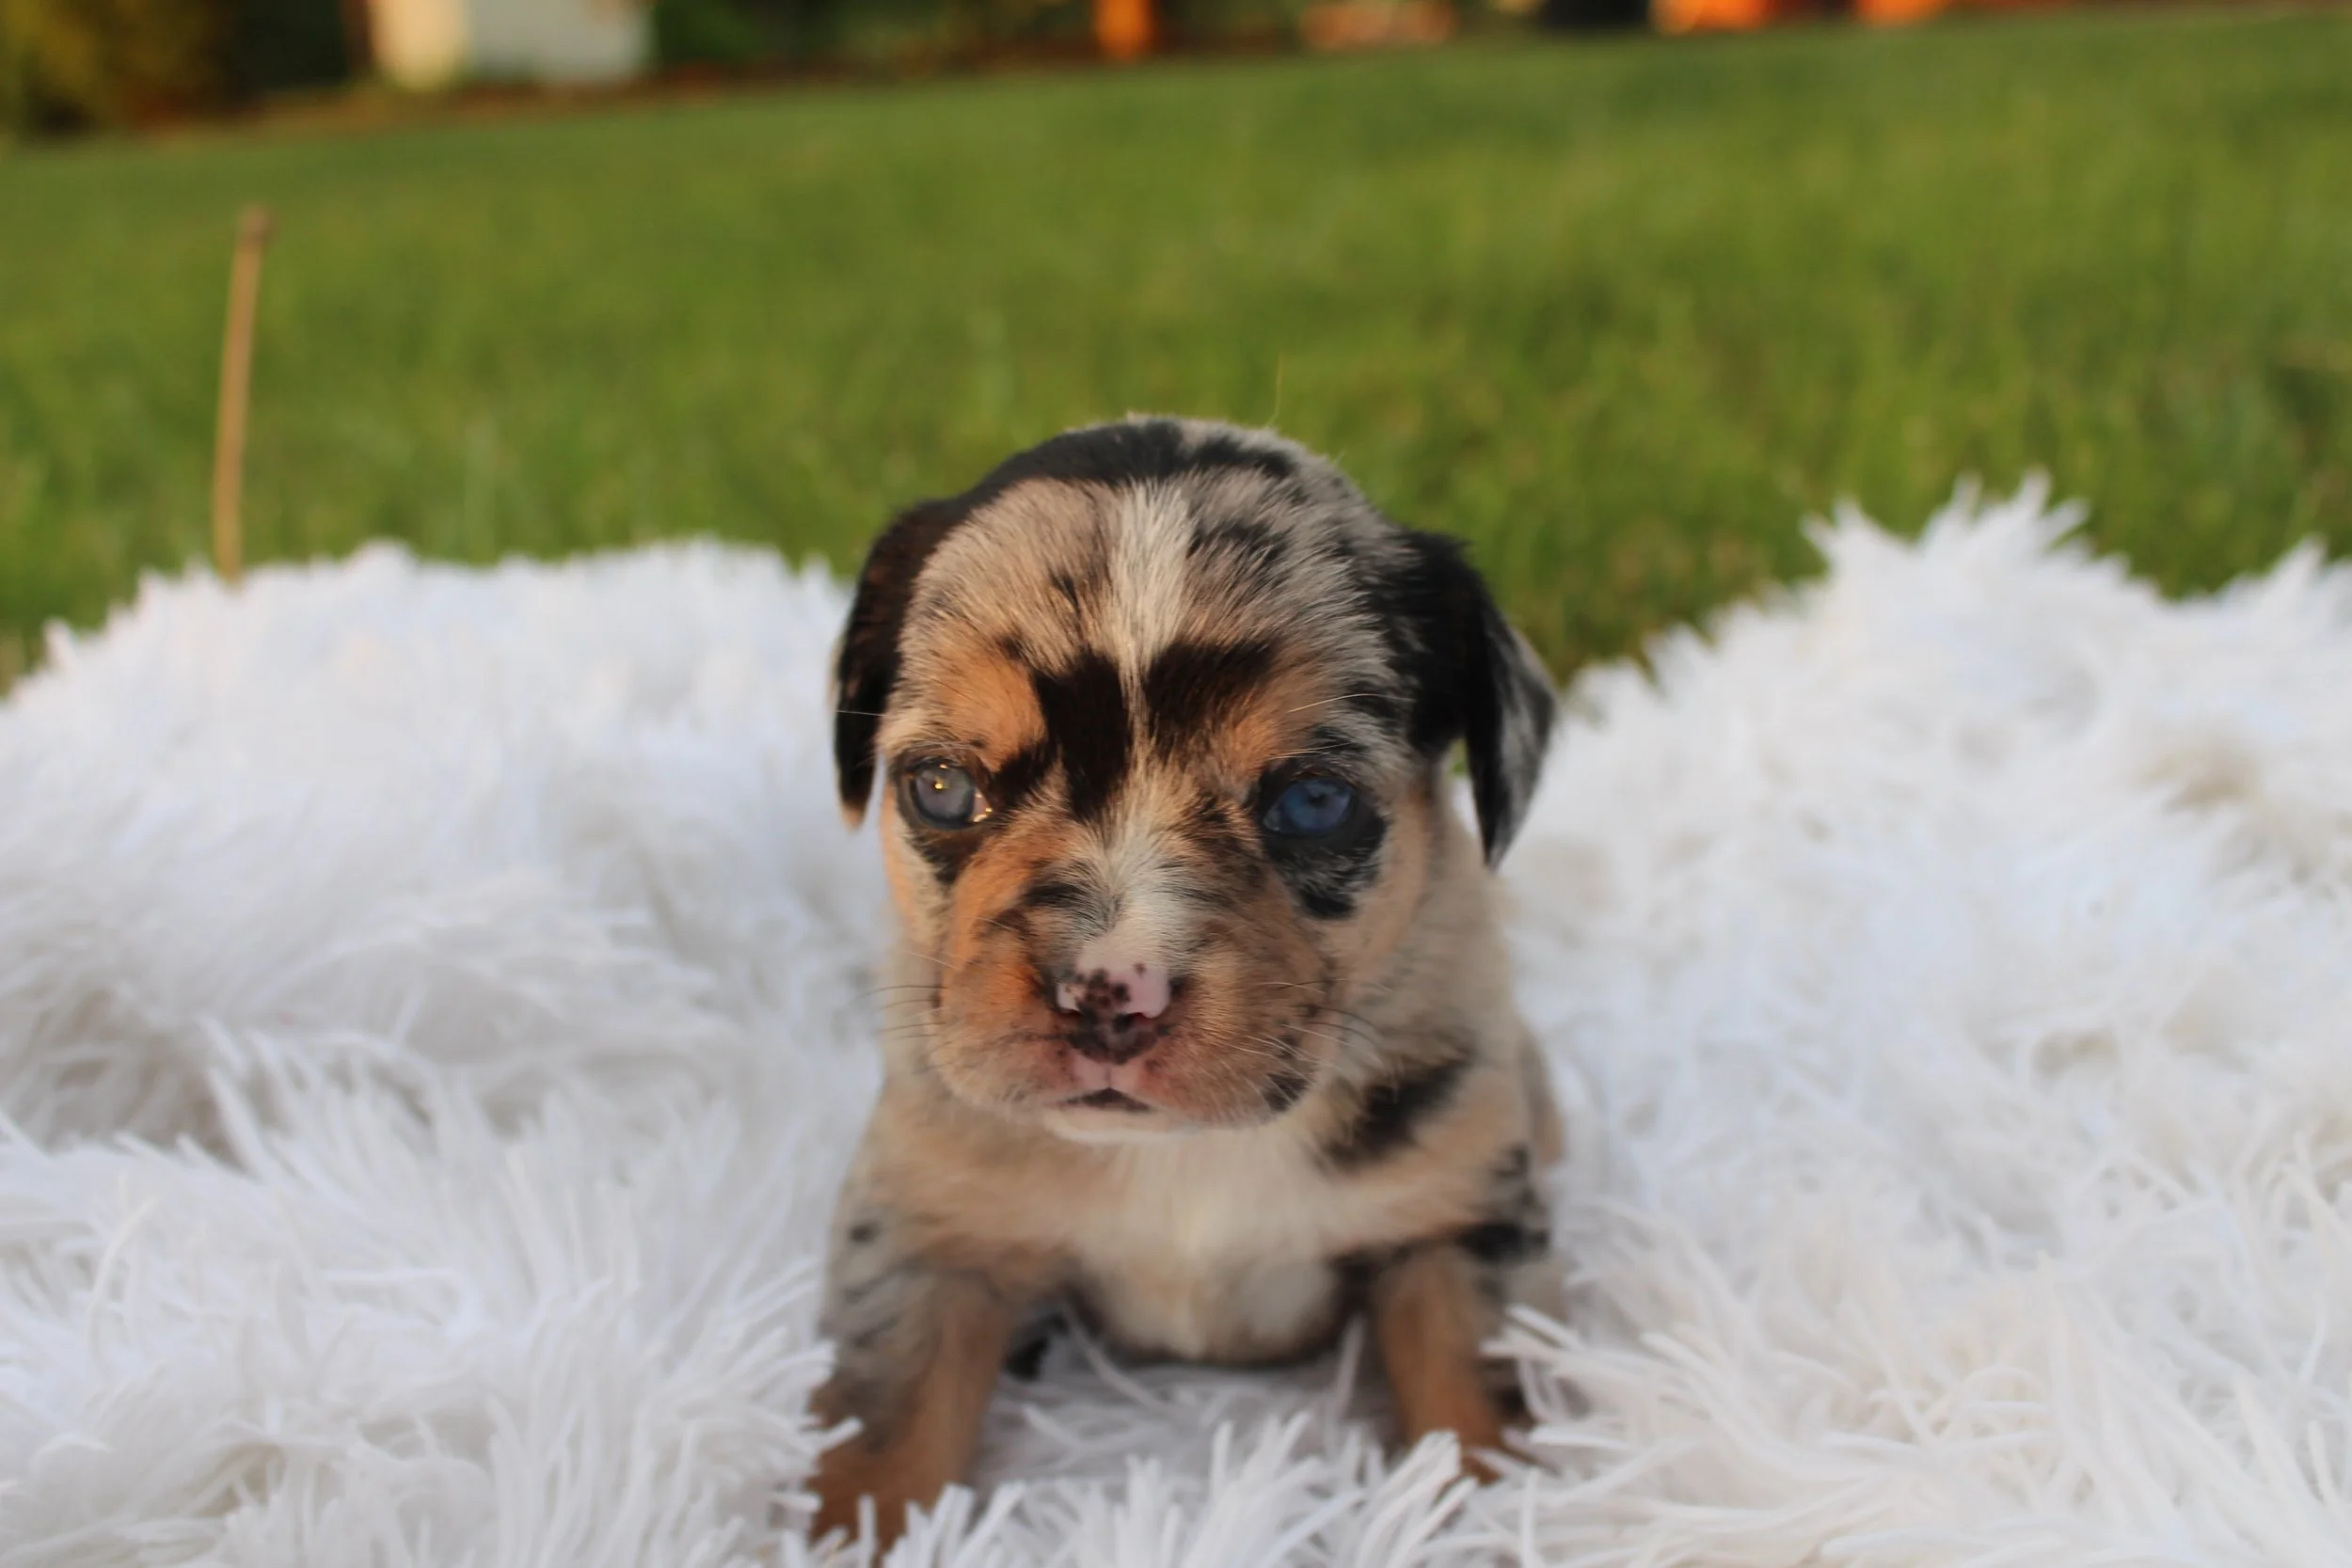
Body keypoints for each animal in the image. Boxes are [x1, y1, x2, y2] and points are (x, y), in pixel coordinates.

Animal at [812, 416, 1562, 1543]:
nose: (1108, 992)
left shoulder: (1457, 1229)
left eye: (1313, 800)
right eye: (942, 787)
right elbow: (881, 1450)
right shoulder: (916, 1238)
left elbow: (1479, 1425)